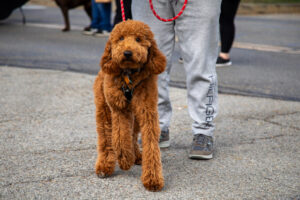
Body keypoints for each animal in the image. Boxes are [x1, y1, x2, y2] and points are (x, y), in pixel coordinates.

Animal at [93, 19, 166, 191]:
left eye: (138, 39)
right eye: (120, 38)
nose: (127, 53)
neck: (129, 76)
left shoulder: (147, 111)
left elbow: (151, 142)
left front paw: (152, 178)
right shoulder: (119, 109)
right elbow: (120, 137)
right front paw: (125, 160)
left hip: (136, 116)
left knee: (132, 135)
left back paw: (137, 156)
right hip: (104, 110)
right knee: (106, 137)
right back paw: (105, 166)